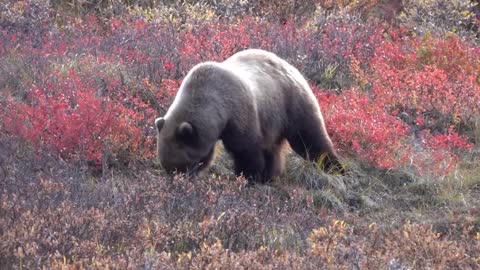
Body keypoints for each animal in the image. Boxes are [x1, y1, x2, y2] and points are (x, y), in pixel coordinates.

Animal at [156, 48, 344, 184]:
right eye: (167, 166)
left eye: (181, 165)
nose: (177, 181)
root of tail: (289, 65)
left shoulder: (238, 113)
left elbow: (246, 149)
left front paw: (249, 177)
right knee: (274, 149)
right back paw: (272, 175)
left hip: (291, 103)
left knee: (309, 138)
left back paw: (335, 168)